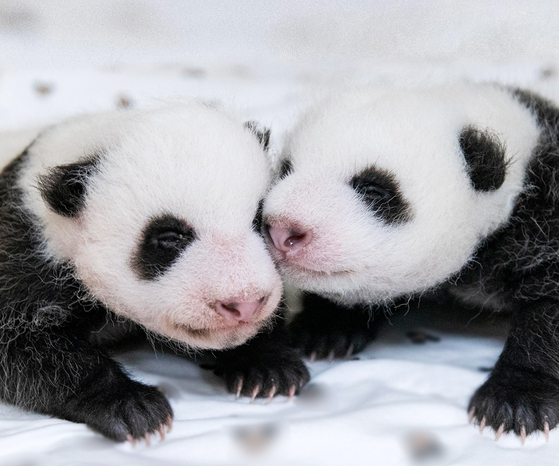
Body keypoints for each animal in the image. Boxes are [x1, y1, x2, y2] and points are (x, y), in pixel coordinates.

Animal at [0, 104, 308, 442]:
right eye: (169, 238)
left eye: (258, 221)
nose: (245, 304)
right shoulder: (22, 256)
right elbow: (23, 348)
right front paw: (132, 406)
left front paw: (268, 366)